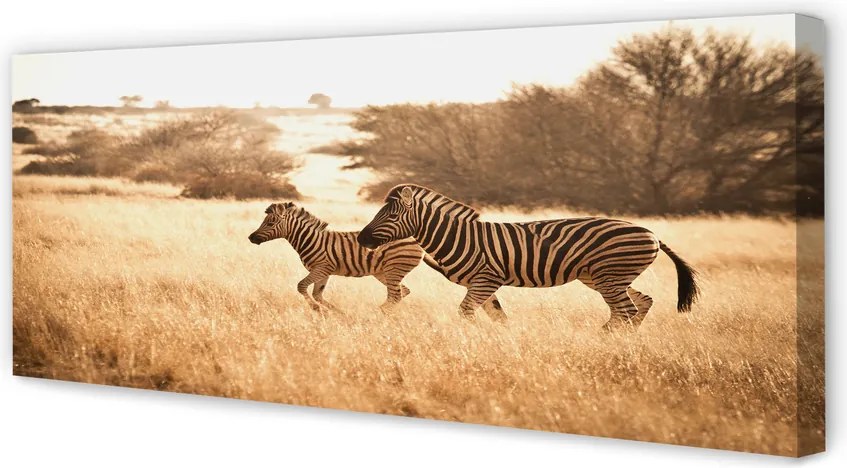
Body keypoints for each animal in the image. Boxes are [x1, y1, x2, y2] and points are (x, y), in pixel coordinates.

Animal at [248, 202, 424, 312]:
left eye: (270, 223)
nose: (251, 238)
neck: (310, 239)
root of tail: (413, 238)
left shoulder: (322, 268)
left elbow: (301, 286)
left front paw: (317, 309)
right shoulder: (323, 271)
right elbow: (317, 294)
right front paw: (335, 312)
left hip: (394, 269)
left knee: (396, 295)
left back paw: (378, 314)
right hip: (383, 272)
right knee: (402, 292)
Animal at [356, 184, 699, 330]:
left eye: (390, 214)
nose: (361, 238)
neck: (458, 237)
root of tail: (651, 233)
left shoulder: (486, 279)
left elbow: (466, 312)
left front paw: (468, 338)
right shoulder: (484, 284)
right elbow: (497, 315)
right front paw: (500, 339)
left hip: (609, 276)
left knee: (626, 310)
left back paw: (609, 340)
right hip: (604, 277)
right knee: (641, 303)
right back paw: (620, 339)